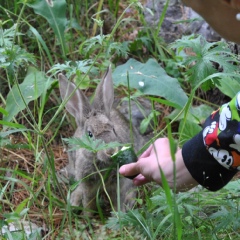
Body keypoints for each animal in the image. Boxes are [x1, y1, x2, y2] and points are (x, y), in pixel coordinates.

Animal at [58, 66, 144, 216]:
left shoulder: (118, 183)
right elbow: (89, 202)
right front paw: (88, 217)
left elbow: (117, 200)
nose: (111, 150)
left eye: (113, 129)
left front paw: (117, 216)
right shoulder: (87, 183)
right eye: (90, 134)